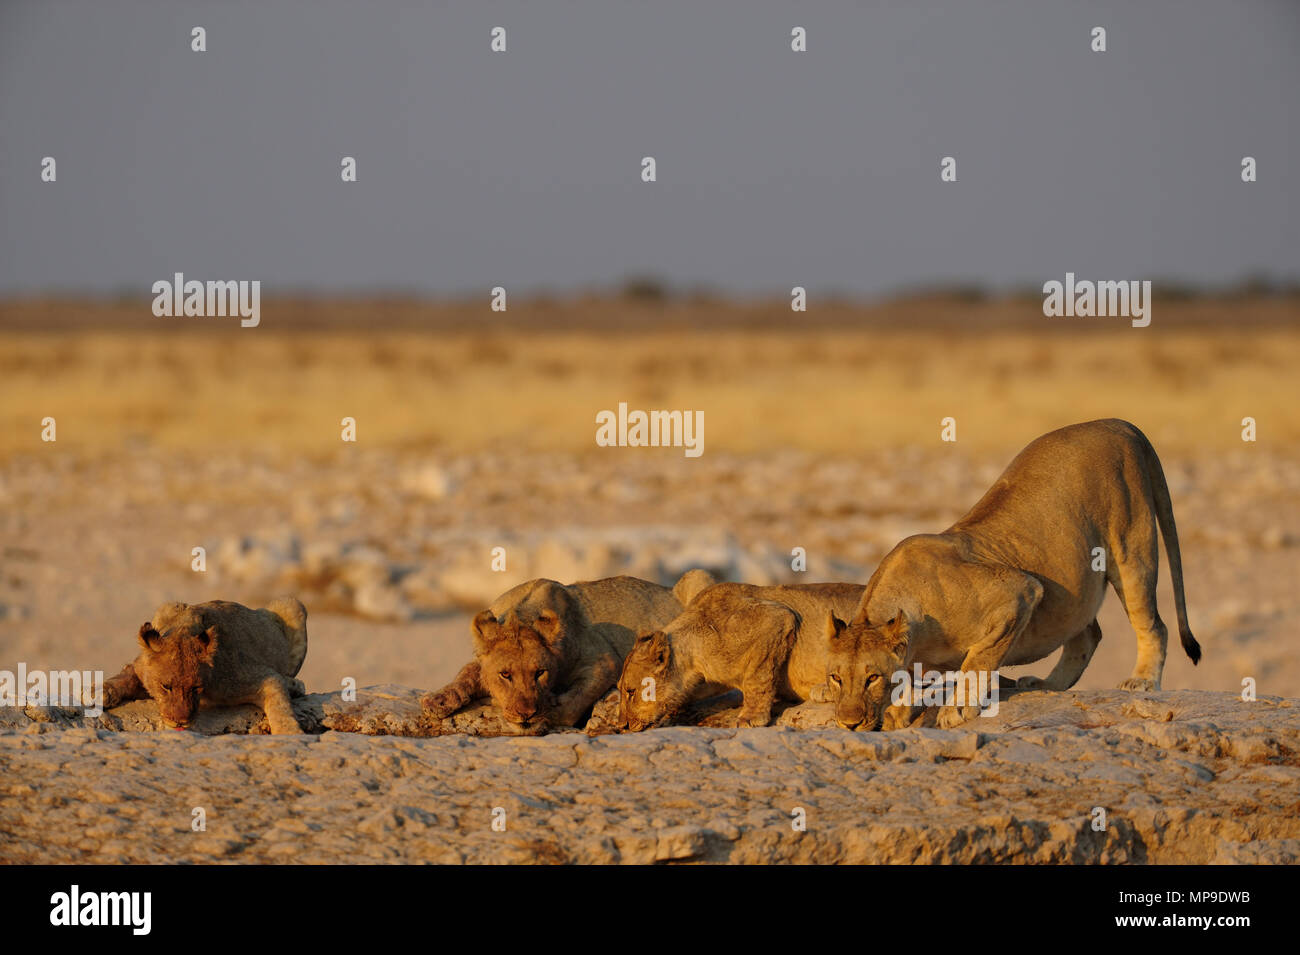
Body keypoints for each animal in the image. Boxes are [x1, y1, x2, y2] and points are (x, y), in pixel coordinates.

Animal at [96, 600, 309, 738]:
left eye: (196, 688)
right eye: (166, 687)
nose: (181, 722)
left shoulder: (256, 676)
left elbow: (280, 704)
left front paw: (290, 733)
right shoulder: (140, 666)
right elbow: (125, 676)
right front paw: (100, 692)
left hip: (293, 605)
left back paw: (295, 686)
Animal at [418, 571, 712, 738]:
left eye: (540, 672)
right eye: (505, 674)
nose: (526, 713)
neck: (519, 617)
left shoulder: (606, 660)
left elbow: (572, 703)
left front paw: (549, 711)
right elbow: (467, 672)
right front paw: (439, 700)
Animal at [826, 420, 1201, 732]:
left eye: (872, 678)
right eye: (835, 678)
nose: (848, 723)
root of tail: (1121, 424)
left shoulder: (1019, 593)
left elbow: (977, 662)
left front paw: (957, 709)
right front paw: (897, 712)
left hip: (1131, 549)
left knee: (1153, 625)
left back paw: (1142, 681)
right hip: (1075, 588)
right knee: (1088, 635)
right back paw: (1047, 685)